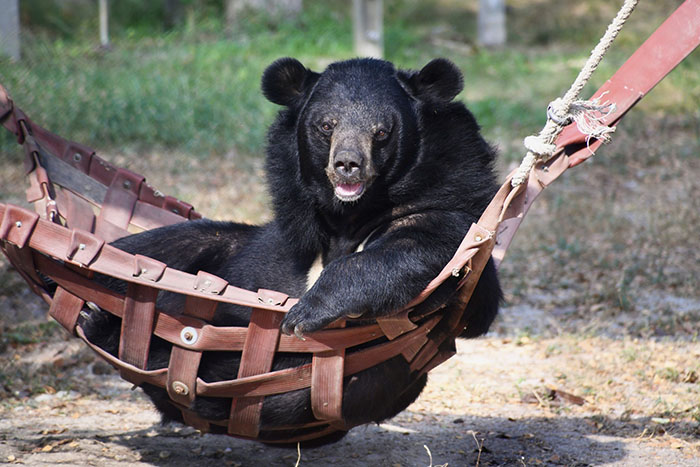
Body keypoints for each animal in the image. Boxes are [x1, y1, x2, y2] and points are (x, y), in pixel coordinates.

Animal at [80, 57, 502, 444]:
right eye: (326, 125)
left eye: (382, 132)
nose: (348, 165)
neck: (347, 216)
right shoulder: (283, 237)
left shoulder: (451, 195)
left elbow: (434, 249)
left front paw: (305, 313)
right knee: (165, 246)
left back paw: (103, 325)